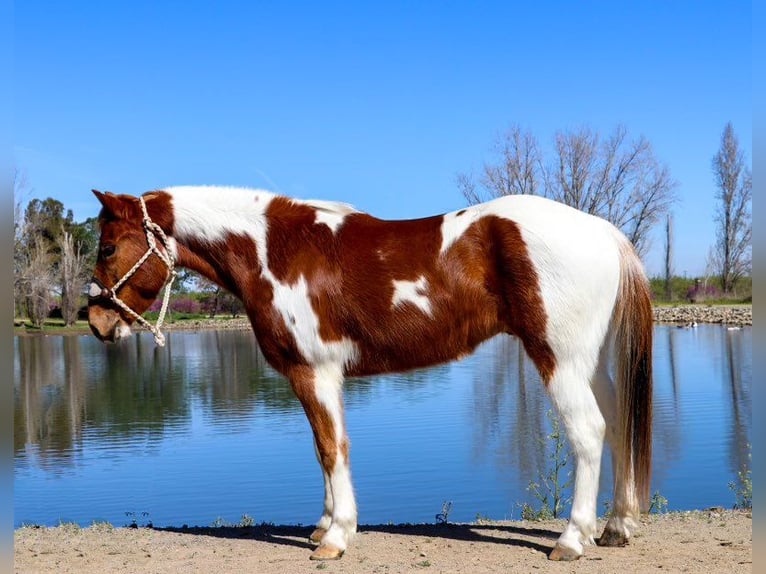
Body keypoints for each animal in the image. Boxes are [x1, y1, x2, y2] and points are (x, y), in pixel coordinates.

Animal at [88, 187, 656, 564]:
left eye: (109, 247)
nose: (95, 321)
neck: (274, 249)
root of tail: (601, 230)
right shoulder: (319, 378)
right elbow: (323, 448)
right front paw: (322, 528)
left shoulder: (313, 372)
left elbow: (330, 448)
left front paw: (336, 538)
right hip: (590, 363)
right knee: (619, 423)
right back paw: (616, 527)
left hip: (559, 359)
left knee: (589, 432)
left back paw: (571, 540)